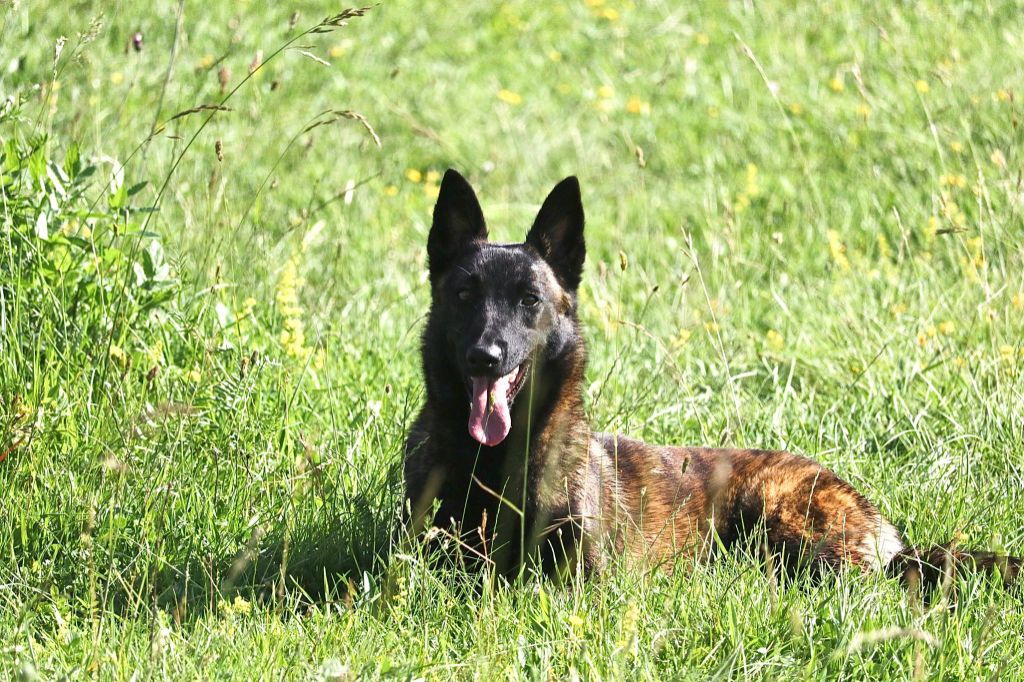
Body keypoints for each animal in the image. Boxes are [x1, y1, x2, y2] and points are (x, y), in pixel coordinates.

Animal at [403, 166, 1019, 585]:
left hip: (790, 529)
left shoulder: (578, 580)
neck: (491, 462)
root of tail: (879, 521)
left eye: (530, 300)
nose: (485, 355)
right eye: (464, 295)